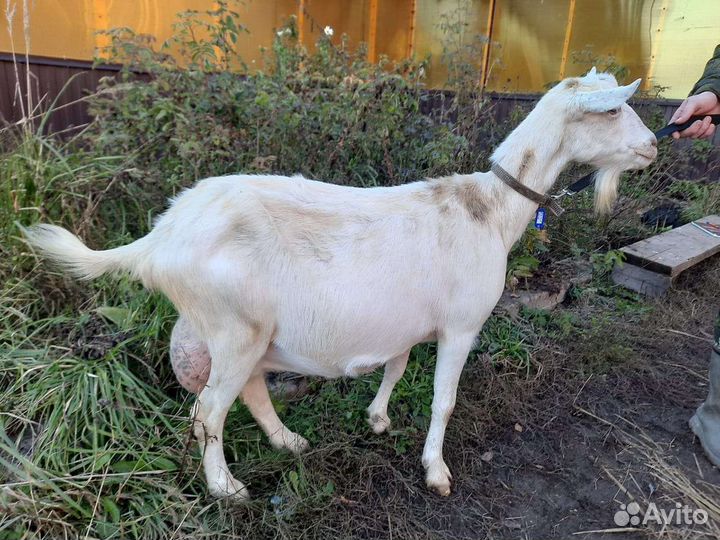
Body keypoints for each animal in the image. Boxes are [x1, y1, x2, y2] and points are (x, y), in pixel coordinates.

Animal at [22, 69, 657, 500]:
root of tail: (160, 237)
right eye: (612, 112)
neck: (490, 211)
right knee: (208, 411)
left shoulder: (409, 320)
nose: (653, 145)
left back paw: (289, 443)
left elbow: (398, 365)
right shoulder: (461, 324)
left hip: (248, 333)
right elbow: (443, 399)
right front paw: (436, 471)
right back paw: (228, 488)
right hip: (232, 328)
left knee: (249, 392)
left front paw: (377, 418)